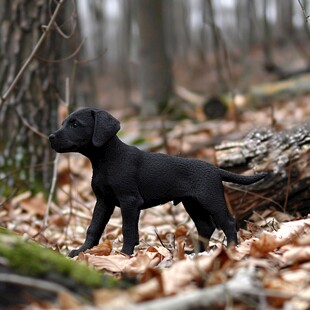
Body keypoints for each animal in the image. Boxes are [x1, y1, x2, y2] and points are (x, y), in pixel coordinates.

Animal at [49, 107, 268, 256]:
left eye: (75, 124)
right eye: (63, 123)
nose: (50, 137)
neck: (107, 160)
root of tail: (214, 169)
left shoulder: (130, 201)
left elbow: (128, 229)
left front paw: (125, 254)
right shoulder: (103, 201)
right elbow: (93, 227)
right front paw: (82, 250)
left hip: (210, 199)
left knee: (228, 223)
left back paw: (231, 249)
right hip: (192, 203)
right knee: (206, 227)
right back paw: (198, 253)